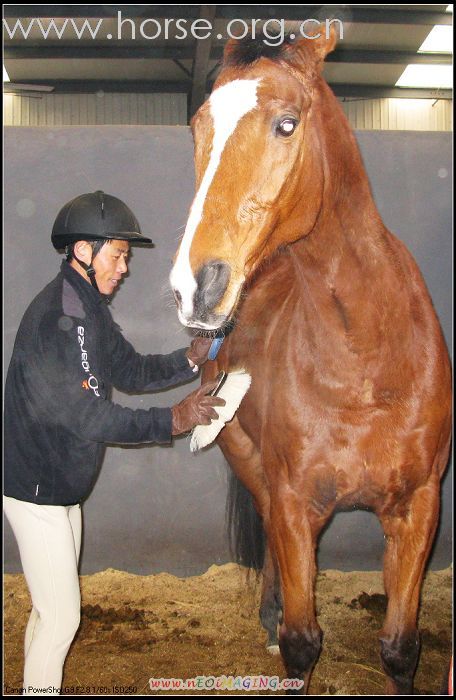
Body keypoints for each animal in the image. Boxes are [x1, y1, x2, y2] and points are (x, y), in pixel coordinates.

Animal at [168, 28, 452, 696]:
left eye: (287, 124)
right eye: (198, 127)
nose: (194, 287)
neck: (367, 364)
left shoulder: (419, 509)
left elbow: (400, 648)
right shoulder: (298, 505)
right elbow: (302, 643)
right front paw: (282, 625)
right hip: (249, 462)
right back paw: (269, 612)